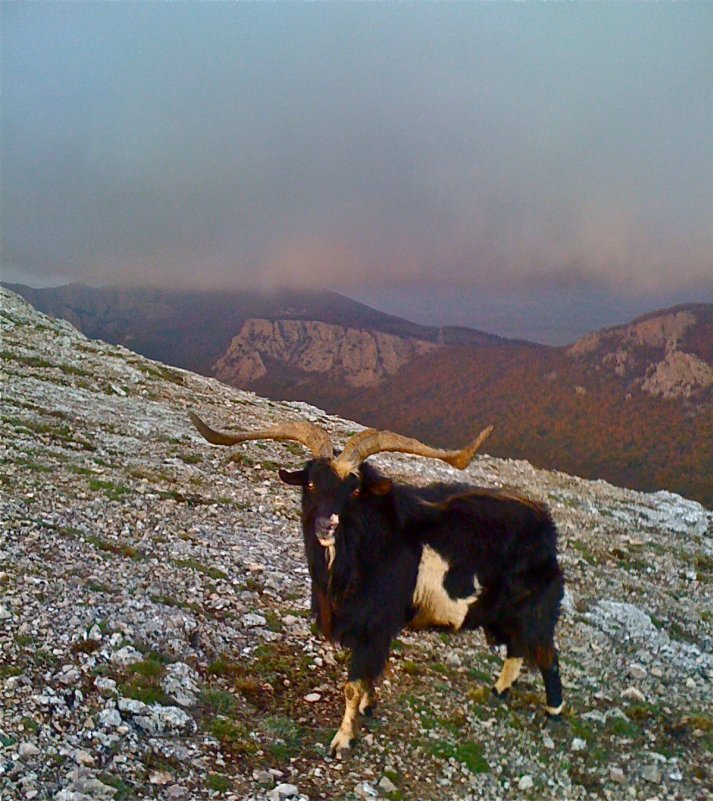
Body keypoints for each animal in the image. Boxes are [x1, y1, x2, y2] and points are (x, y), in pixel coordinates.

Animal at [188, 412, 560, 756]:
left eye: (353, 488)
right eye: (311, 484)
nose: (326, 525)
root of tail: (546, 525)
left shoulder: (375, 625)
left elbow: (354, 684)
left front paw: (342, 740)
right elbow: (368, 678)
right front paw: (369, 707)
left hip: (536, 610)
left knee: (546, 655)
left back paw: (553, 713)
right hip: (502, 615)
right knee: (517, 648)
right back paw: (500, 692)